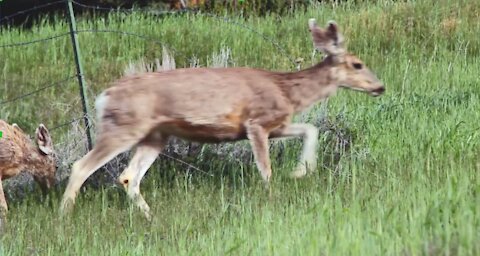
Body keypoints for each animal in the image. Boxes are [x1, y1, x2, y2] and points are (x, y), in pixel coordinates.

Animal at [59, 19, 386, 219]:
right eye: (358, 64)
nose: (380, 87)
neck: (287, 91)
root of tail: (104, 96)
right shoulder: (256, 122)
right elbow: (265, 169)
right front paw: (273, 196)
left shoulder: (276, 123)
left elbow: (310, 129)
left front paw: (301, 171)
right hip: (123, 127)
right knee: (82, 166)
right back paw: (65, 216)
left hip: (155, 135)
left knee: (128, 176)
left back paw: (151, 218)